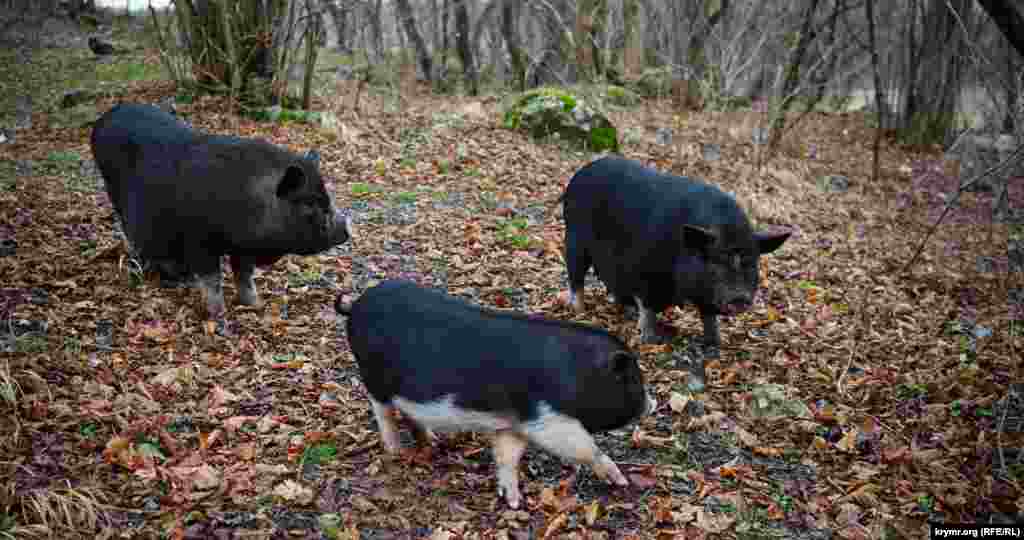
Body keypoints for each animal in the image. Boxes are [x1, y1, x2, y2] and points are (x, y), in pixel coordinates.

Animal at [93, 103, 356, 319]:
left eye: (327, 199)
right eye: (309, 204)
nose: (346, 229)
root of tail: (105, 118)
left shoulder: (244, 250)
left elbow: (244, 276)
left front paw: (254, 305)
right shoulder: (198, 242)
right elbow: (212, 280)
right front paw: (218, 314)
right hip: (114, 195)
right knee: (128, 231)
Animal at [335, 278, 655, 512]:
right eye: (631, 380)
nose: (651, 404)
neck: (577, 373)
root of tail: (356, 305)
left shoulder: (513, 424)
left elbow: (507, 457)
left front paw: (512, 502)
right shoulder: (548, 419)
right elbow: (586, 448)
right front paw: (621, 481)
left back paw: (433, 441)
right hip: (374, 379)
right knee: (382, 411)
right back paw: (396, 450)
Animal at [561, 156, 790, 393]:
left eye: (751, 263)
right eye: (716, 261)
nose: (738, 299)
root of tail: (580, 174)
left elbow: (709, 317)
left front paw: (714, 344)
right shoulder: (645, 276)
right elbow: (648, 308)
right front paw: (652, 340)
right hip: (574, 240)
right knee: (575, 277)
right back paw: (579, 310)